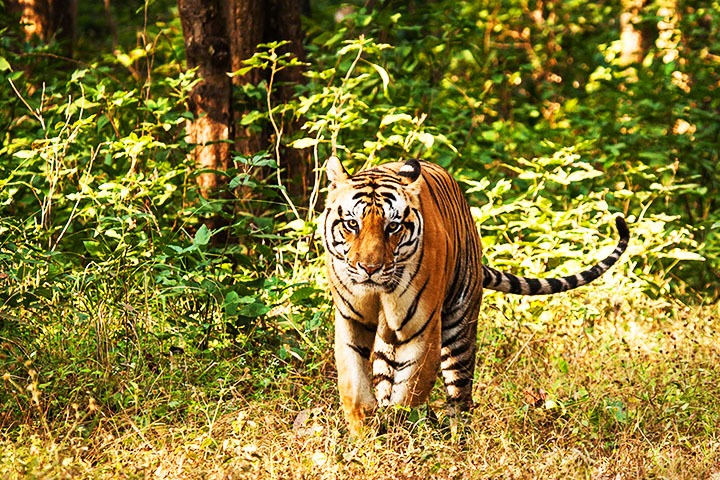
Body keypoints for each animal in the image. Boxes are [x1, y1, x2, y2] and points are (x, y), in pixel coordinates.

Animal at [322, 156, 630, 435]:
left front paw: (397, 434)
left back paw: (458, 438)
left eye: (393, 227)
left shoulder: (421, 329)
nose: (370, 269)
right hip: (390, 339)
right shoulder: (351, 320)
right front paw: (364, 437)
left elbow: (409, 391)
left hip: (460, 325)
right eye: (352, 224)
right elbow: (354, 386)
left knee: (460, 392)